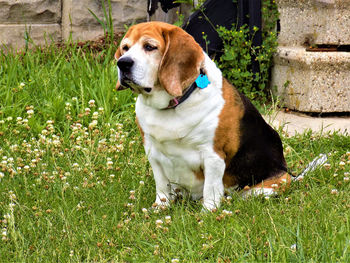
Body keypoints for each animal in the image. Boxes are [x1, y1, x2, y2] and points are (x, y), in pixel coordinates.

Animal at [114, 22, 290, 212]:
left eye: (149, 47)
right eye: (125, 48)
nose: (122, 63)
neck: (173, 105)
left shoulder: (213, 155)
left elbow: (211, 190)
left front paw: (207, 214)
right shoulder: (153, 152)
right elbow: (161, 186)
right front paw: (160, 208)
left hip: (273, 184)